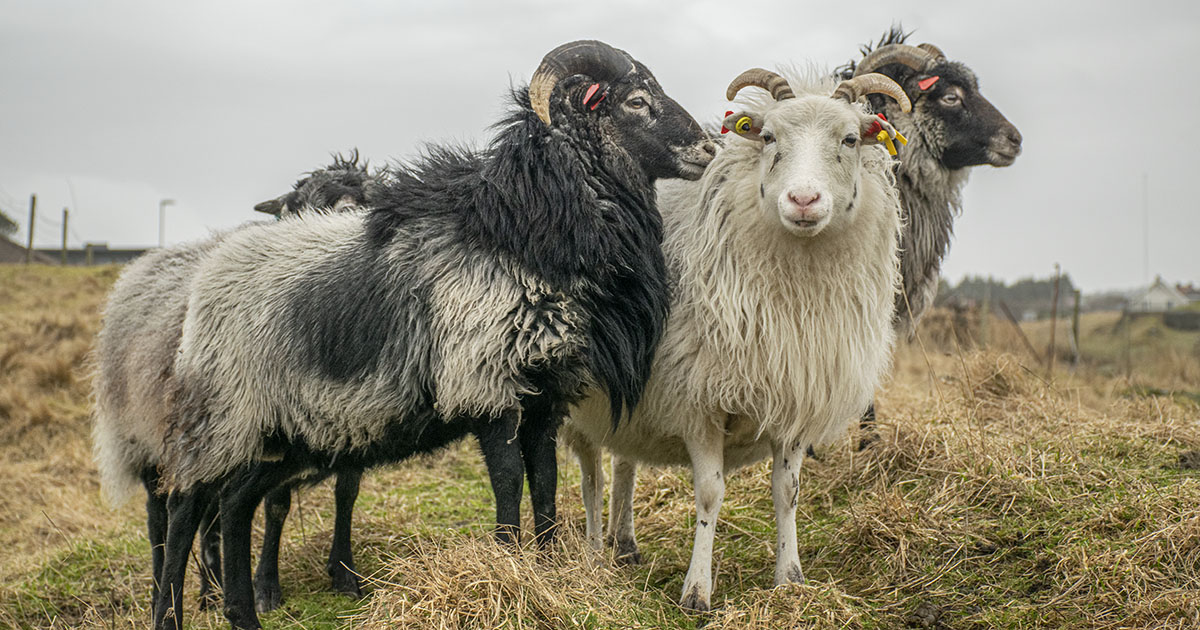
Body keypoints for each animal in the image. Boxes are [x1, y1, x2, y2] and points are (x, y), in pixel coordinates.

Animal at [148, 39, 716, 630]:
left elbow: (545, 482)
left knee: (235, 505)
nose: (709, 148)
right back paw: (170, 613)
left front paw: (548, 567)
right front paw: (508, 566)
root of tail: (206, 275)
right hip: (223, 416)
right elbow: (509, 482)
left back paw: (243, 613)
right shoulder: (488, 385)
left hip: (278, 433)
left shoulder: (546, 394)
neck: (526, 238)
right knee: (185, 506)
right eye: (635, 101)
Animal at [564, 67, 907, 612]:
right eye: (768, 138)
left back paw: (625, 546)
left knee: (623, 464)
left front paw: (790, 579)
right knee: (592, 473)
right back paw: (595, 552)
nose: (803, 201)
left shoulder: (794, 397)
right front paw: (696, 591)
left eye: (851, 139)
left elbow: (788, 491)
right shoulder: (700, 400)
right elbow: (710, 493)